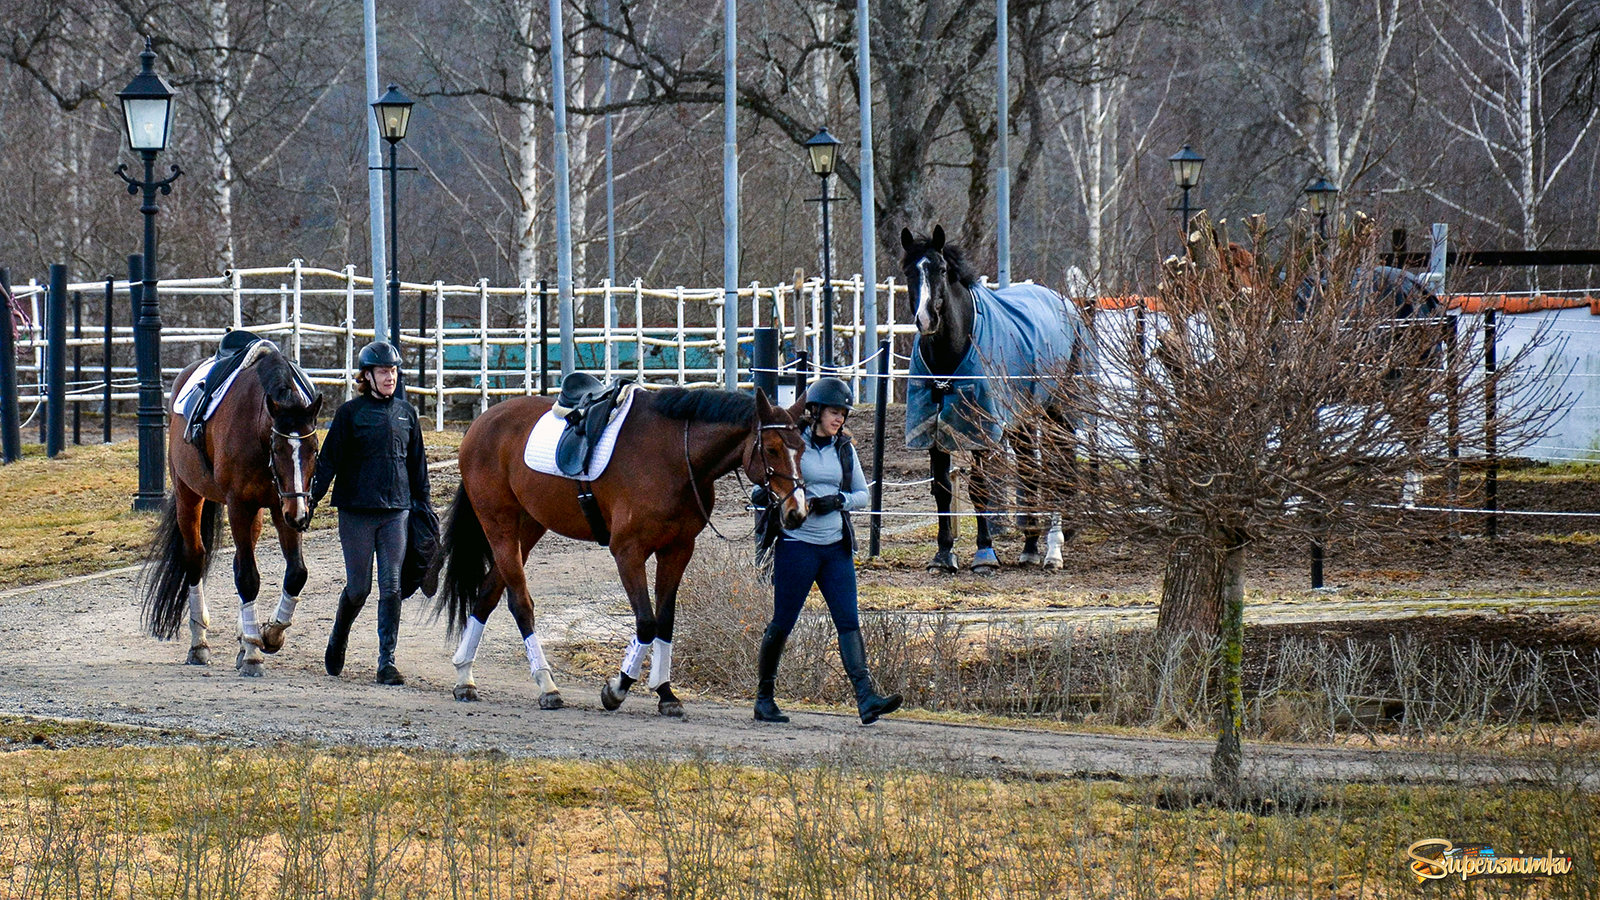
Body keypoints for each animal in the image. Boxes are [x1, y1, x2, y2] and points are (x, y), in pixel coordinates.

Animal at [908, 227, 1094, 570]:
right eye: (908, 272)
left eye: (941, 269)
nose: (926, 319)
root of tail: (1069, 307)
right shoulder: (931, 427)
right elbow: (942, 489)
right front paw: (943, 555)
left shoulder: (981, 429)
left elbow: (980, 489)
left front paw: (984, 553)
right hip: (1023, 418)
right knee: (1029, 470)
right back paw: (1031, 546)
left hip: (1058, 412)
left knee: (1059, 470)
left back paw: (1053, 549)